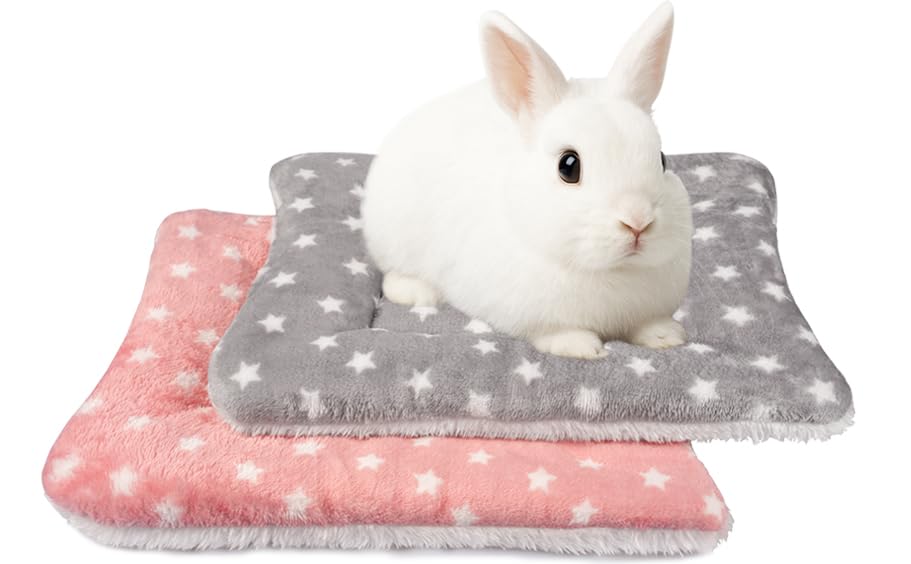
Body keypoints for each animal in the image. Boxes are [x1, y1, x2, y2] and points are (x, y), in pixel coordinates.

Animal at [361, 2, 692, 359]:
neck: (611, 271)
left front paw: (667, 337)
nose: (637, 222)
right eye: (568, 166)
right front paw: (580, 347)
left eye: (662, 159)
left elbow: (649, 325)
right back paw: (418, 293)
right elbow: (556, 332)